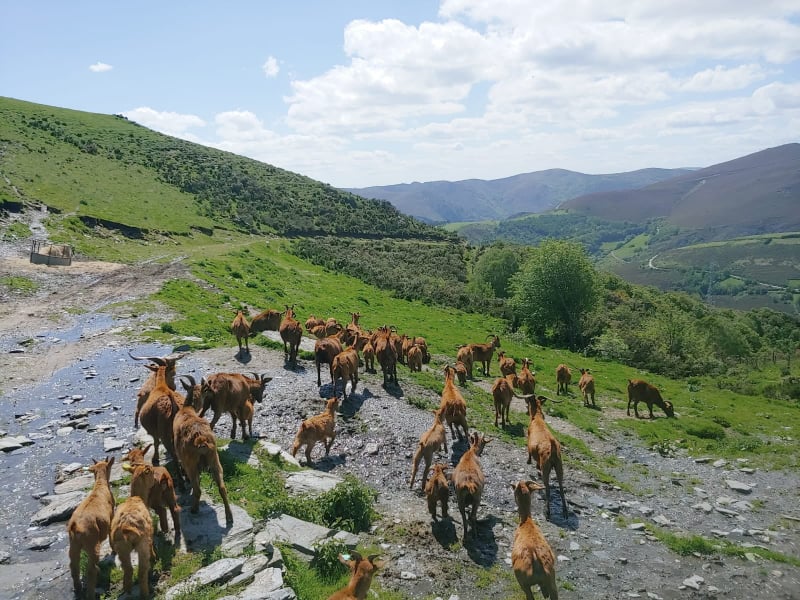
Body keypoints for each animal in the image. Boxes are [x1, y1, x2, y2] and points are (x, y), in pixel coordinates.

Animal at [67, 457, 115, 600]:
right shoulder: (112, 516)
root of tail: (75, 526)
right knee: (91, 570)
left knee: (74, 566)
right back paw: (91, 591)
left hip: (74, 545)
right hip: (92, 544)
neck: (99, 485)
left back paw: (78, 588)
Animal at [111, 465, 156, 598]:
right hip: (141, 544)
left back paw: (128, 590)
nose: (155, 480)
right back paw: (145, 594)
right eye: (151, 472)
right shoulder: (148, 537)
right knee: (141, 571)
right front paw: (154, 557)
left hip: (122, 548)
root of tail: (126, 526)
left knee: (128, 570)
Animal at [170, 387, 233, 523]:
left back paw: (194, 509)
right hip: (214, 459)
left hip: (191, 463)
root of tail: (201, 440)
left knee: (197, 489)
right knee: (222, 487)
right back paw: (229, 516)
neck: (187, 409)